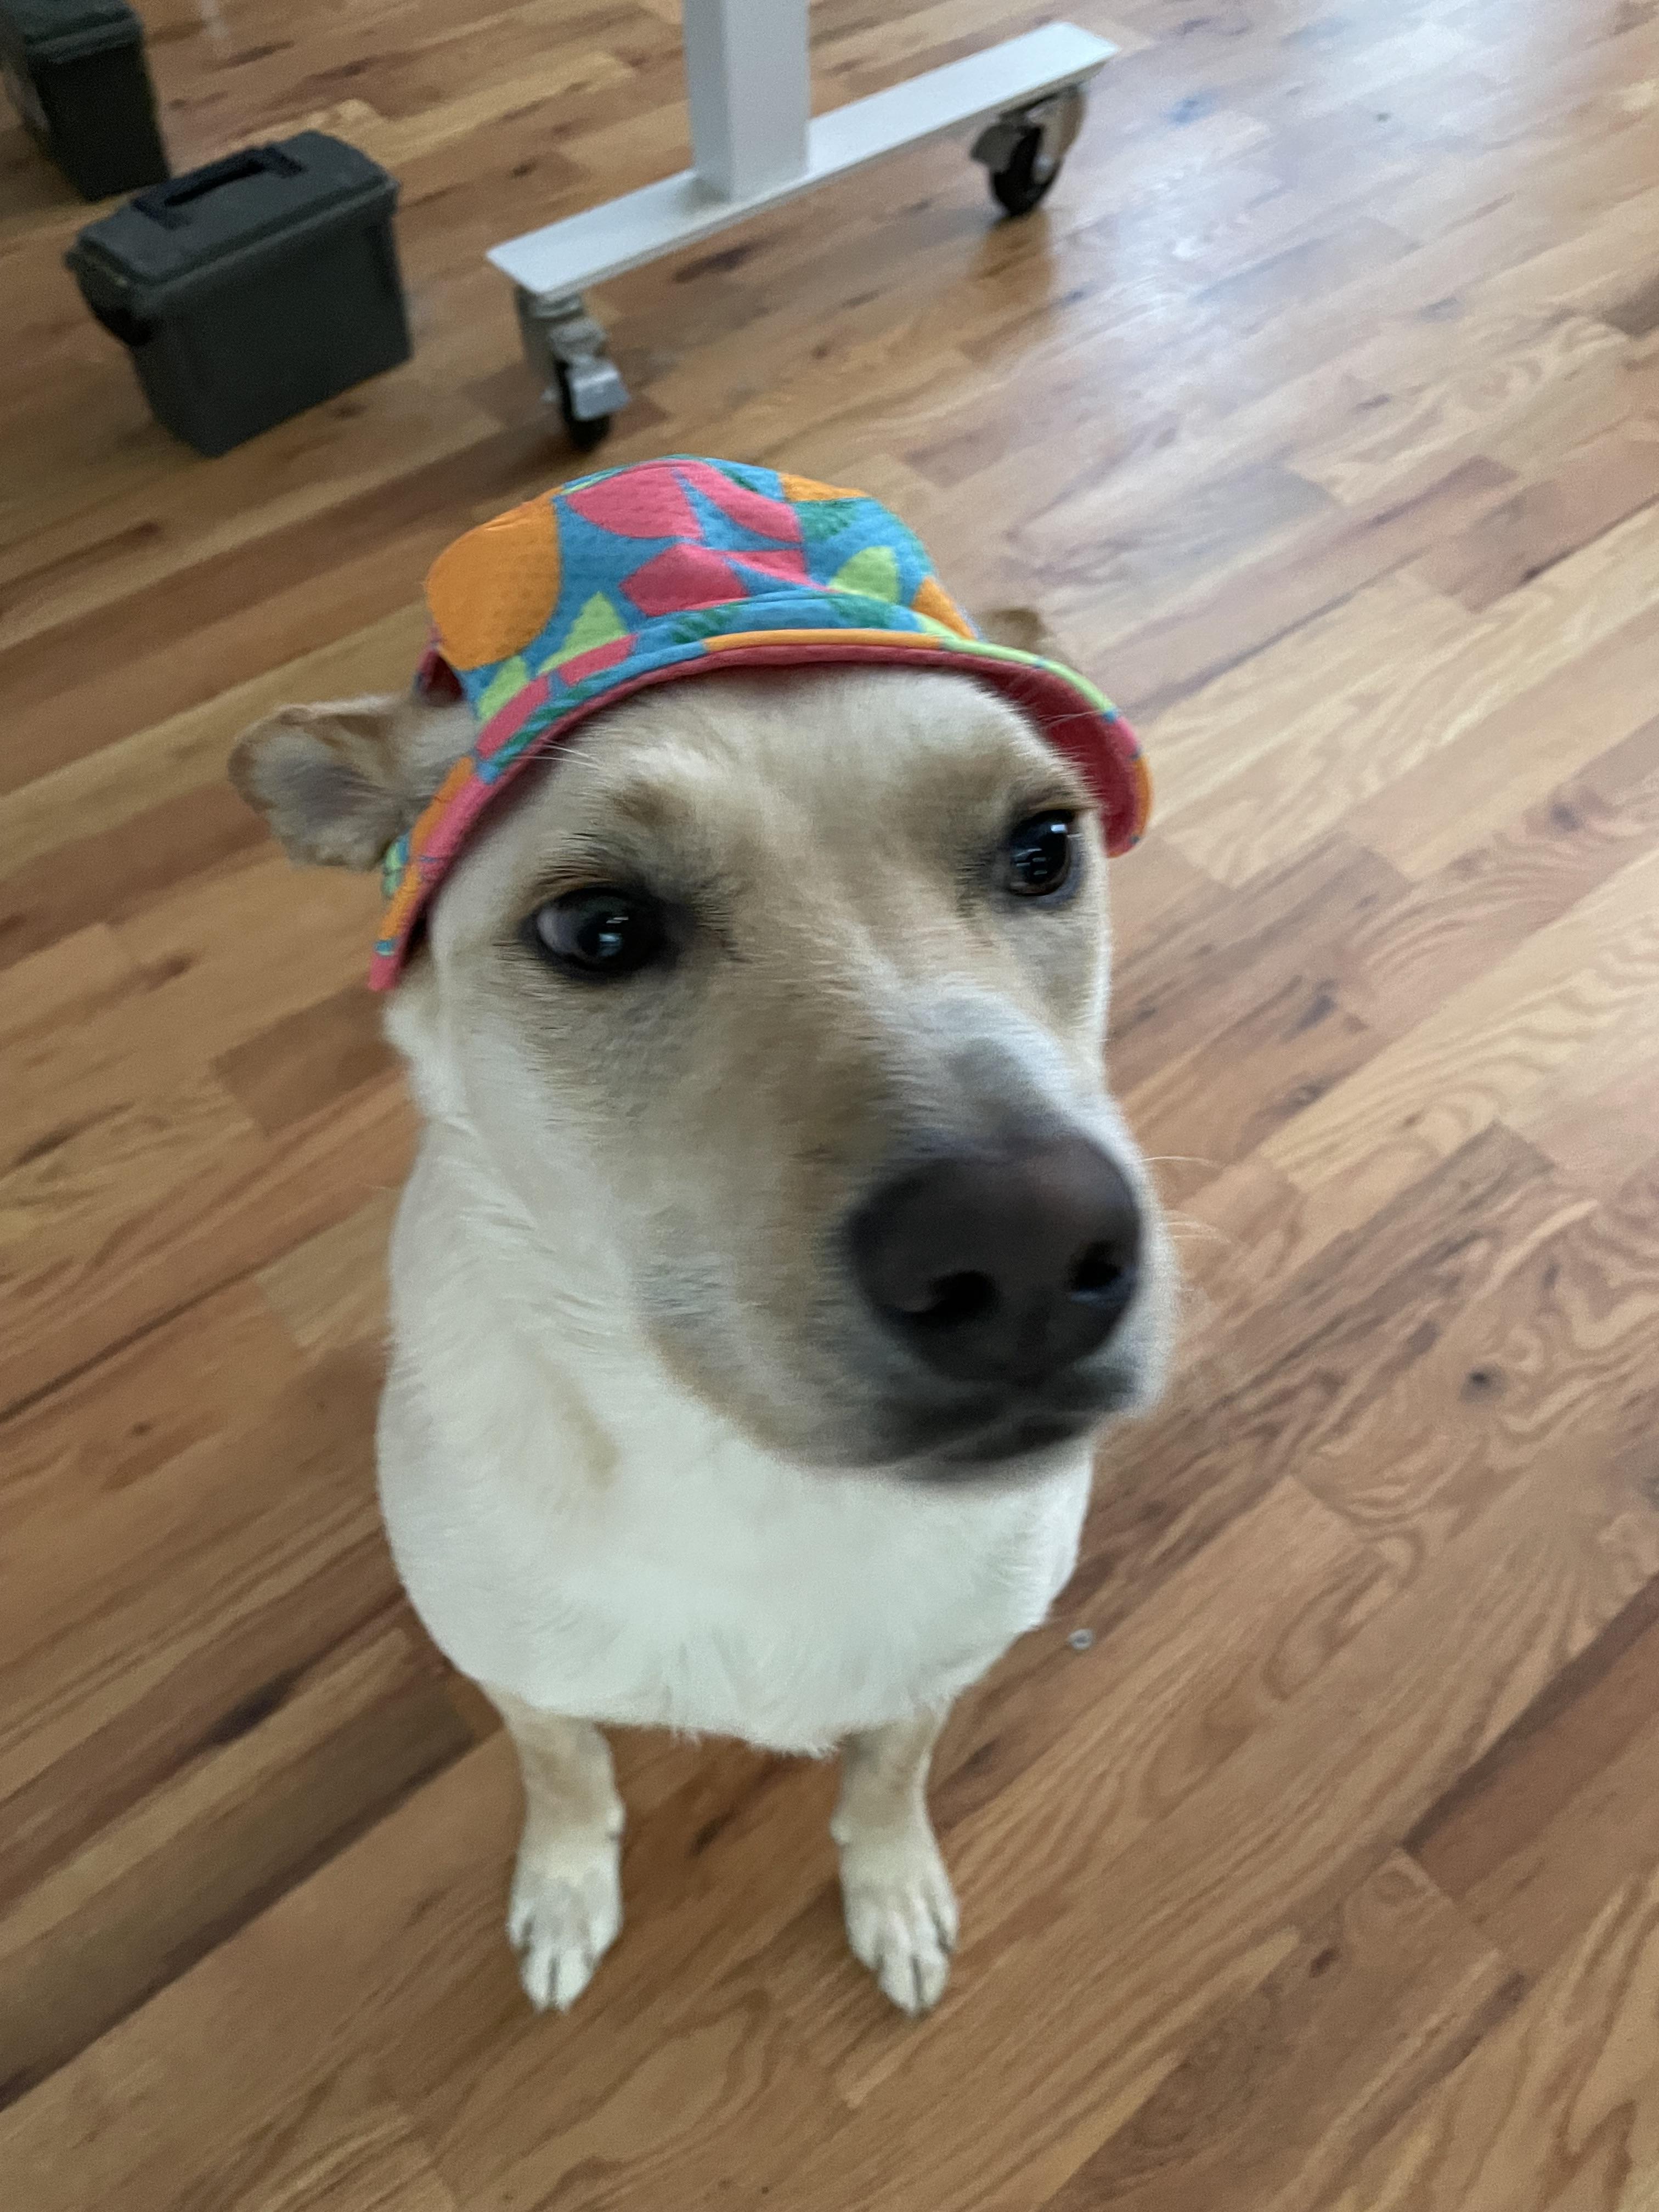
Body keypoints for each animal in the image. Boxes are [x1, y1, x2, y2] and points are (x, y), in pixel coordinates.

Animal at [234, 458, 1177, 2017]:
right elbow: (567, 1779)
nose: (1032, 1255)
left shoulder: (939, 1672)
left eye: (1044, 848)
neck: (746, 1481)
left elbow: (887, 1779)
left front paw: (891, 1886)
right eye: (598, 930)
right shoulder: (524, 1681)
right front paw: (566, 1892)